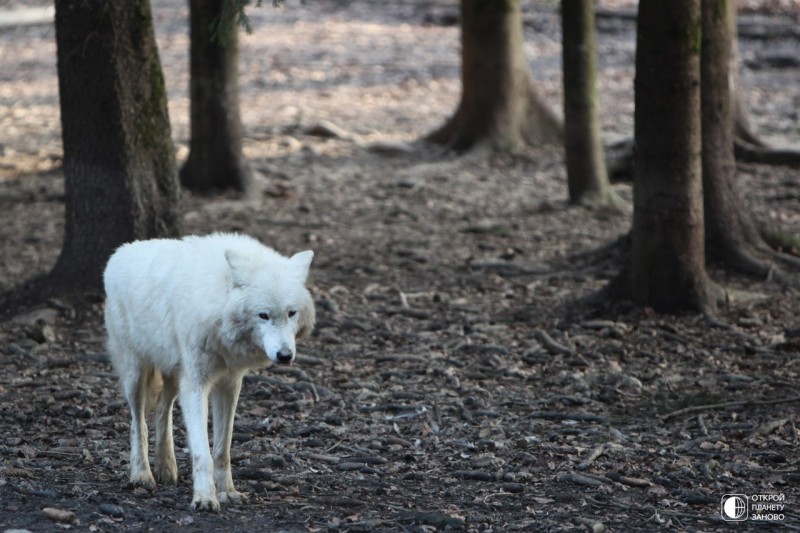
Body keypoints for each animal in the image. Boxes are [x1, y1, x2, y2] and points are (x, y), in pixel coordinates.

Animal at [104, 233, 318, 512]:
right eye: (263, 315)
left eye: (291, 313)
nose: (284, 356)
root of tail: (119, 253)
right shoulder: (196, 384)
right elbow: (201, 452)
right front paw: (205, 497)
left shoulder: (230, 383)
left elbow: (222, 449)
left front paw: (228, 492)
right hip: (137, 373)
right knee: (137, 422)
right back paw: (142, 475)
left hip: (175, 376)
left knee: (162, 409)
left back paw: (166, 468)